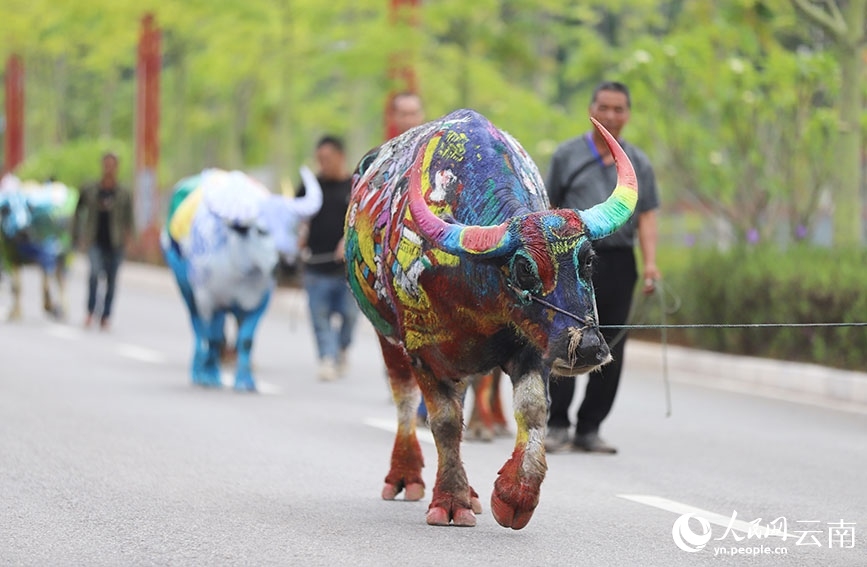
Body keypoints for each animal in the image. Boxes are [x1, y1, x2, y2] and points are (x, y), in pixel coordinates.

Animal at [162, 166, 322, 392]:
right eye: (261, 230)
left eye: (294, 228)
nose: (289, 263)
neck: (240, 270)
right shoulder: (210, 301)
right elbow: (212, 337)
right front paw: (210, 376)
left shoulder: (259, 303)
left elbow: (246, 340)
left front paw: (246, 381)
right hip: (187, 292)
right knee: (199, 329)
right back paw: (198, 370)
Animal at [344, 110, 636, 528]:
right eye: (524, 268)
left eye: (589, 260)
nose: (588, 348)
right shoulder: (422, 353)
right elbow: (444, 422)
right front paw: (450, 501)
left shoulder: (532, 348)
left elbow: (532, 409)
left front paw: (515, 496)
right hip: (386, 338)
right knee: (404, 400)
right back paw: (406, 477)